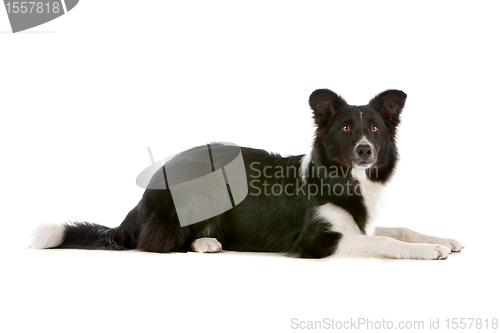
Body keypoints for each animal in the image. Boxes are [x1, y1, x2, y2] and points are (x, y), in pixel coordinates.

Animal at [31, 89, 462, 258]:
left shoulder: (359, 223)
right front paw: (427, 251)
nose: (364, 150)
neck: (343, 177)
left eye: (374, 128)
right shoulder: (317, 240)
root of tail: (139, 203)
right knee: (156, 242)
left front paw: (442, 240)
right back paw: (206, 242)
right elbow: (386, 241)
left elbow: (398, 229)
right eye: (344, 128)